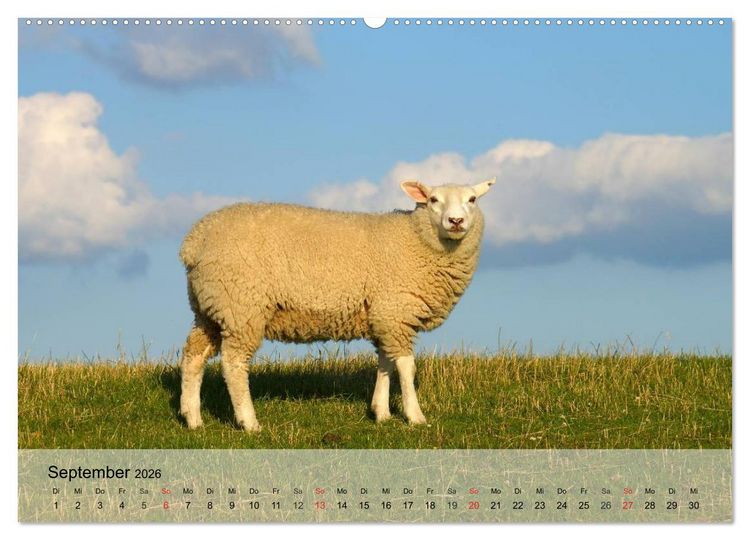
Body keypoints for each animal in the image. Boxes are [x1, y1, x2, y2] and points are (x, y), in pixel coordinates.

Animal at [178, 179, 495, 432]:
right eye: (432, 200)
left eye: (472, 199)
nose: (456, 221)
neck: (415, 240)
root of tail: (194, 241)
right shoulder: (395, 311)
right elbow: (406, 367)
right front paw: (415, 416)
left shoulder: (383, 315)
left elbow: (385, 363)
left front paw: (381, 412)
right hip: (241, 307)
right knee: (233, 364)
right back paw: (249, 422)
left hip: (209, 309)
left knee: (194, 356)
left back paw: (193, 418)